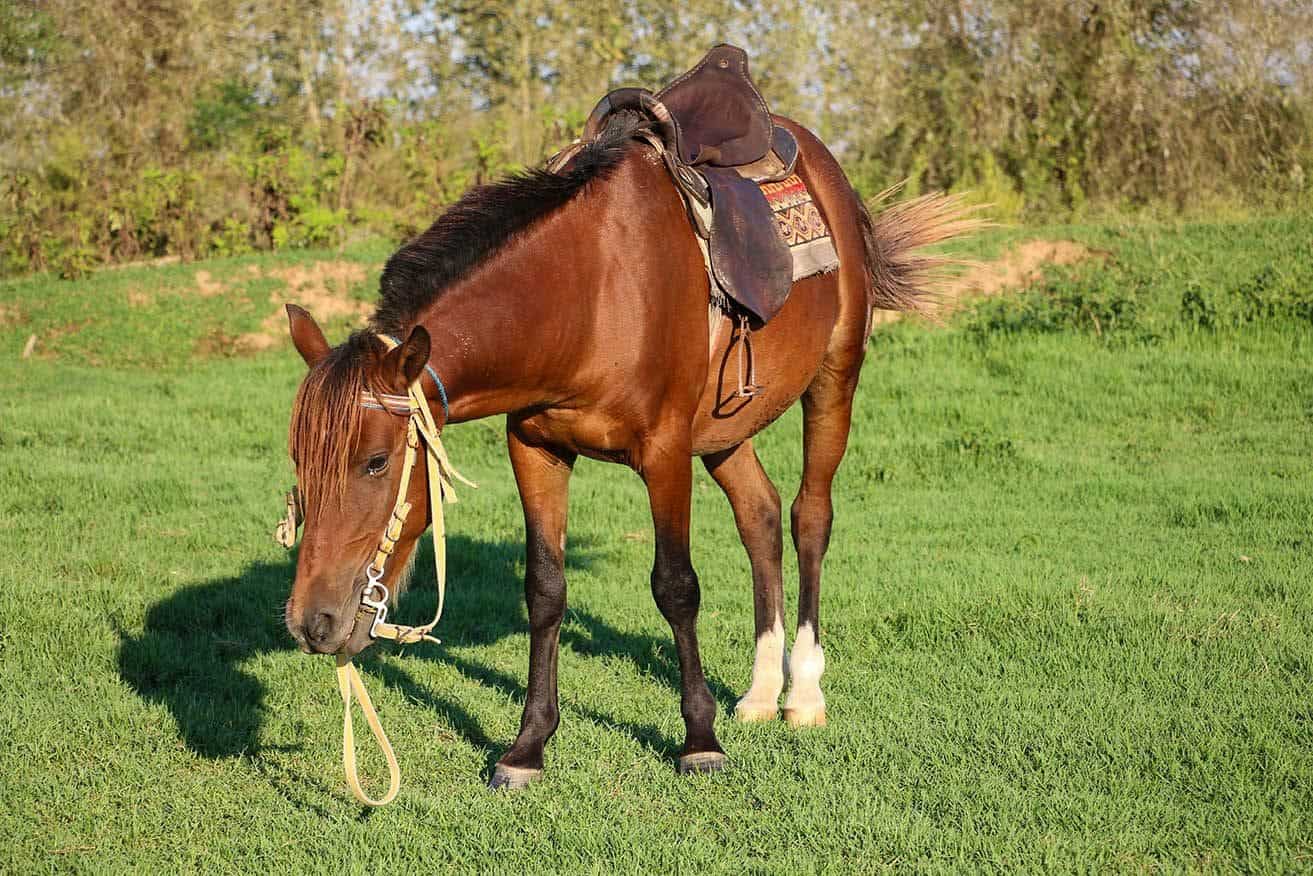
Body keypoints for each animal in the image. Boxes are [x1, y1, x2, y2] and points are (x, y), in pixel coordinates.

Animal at [281, 110, 974, 789]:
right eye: (300, 465)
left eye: (376, 462)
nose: (311, 624)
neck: (587, 296)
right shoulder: (534, 449)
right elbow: (545, 590)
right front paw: (527, 747)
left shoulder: (664, 453)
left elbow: (676, 586)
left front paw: (700, 742)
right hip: (724, 432)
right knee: (760, 516)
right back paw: (758, 693)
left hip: (834, 379)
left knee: (810, 518)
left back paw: (802, 693)